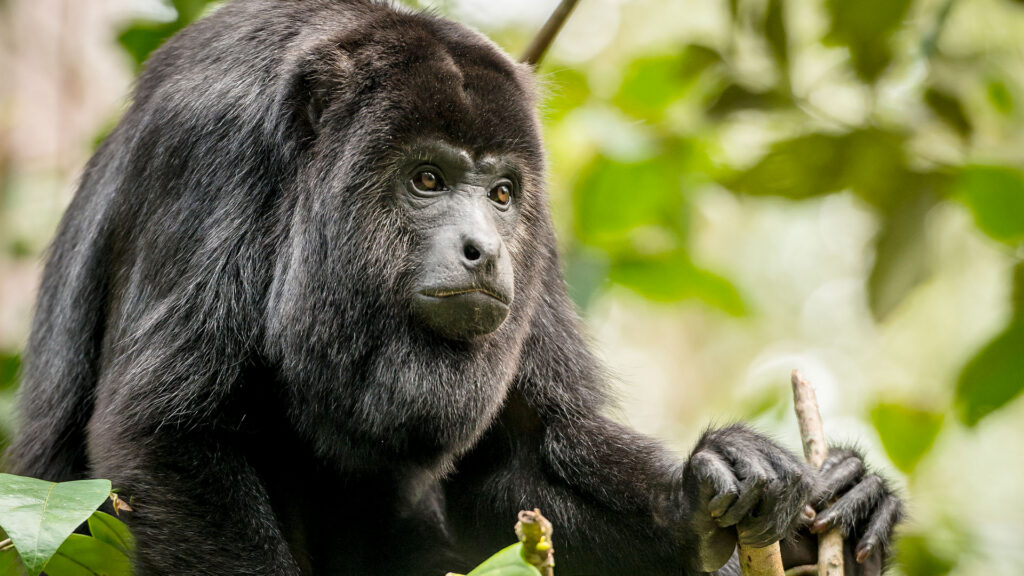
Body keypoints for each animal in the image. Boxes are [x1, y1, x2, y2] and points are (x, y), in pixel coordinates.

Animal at [6, 1, 903, 574]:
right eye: (427, 178)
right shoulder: (209, 152)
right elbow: (170, 435)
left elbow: (517, 466)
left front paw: (715, 485)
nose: (484, 251)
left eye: (502, 193)